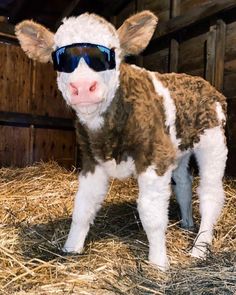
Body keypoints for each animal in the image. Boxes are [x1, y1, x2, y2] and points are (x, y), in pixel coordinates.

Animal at [15, 11, 229, 270]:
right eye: (60, 57)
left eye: (110, 53)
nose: (83, 87)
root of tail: (201, 82)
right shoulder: (92, 161)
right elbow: (83, 206)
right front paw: (70, 249)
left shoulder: (154, 158)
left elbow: (151, 213)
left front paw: (158, 264)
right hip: (178, 148)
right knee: (184, 183)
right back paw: (187, 222)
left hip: (213, 142)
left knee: (210, 192)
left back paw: (199, 248)